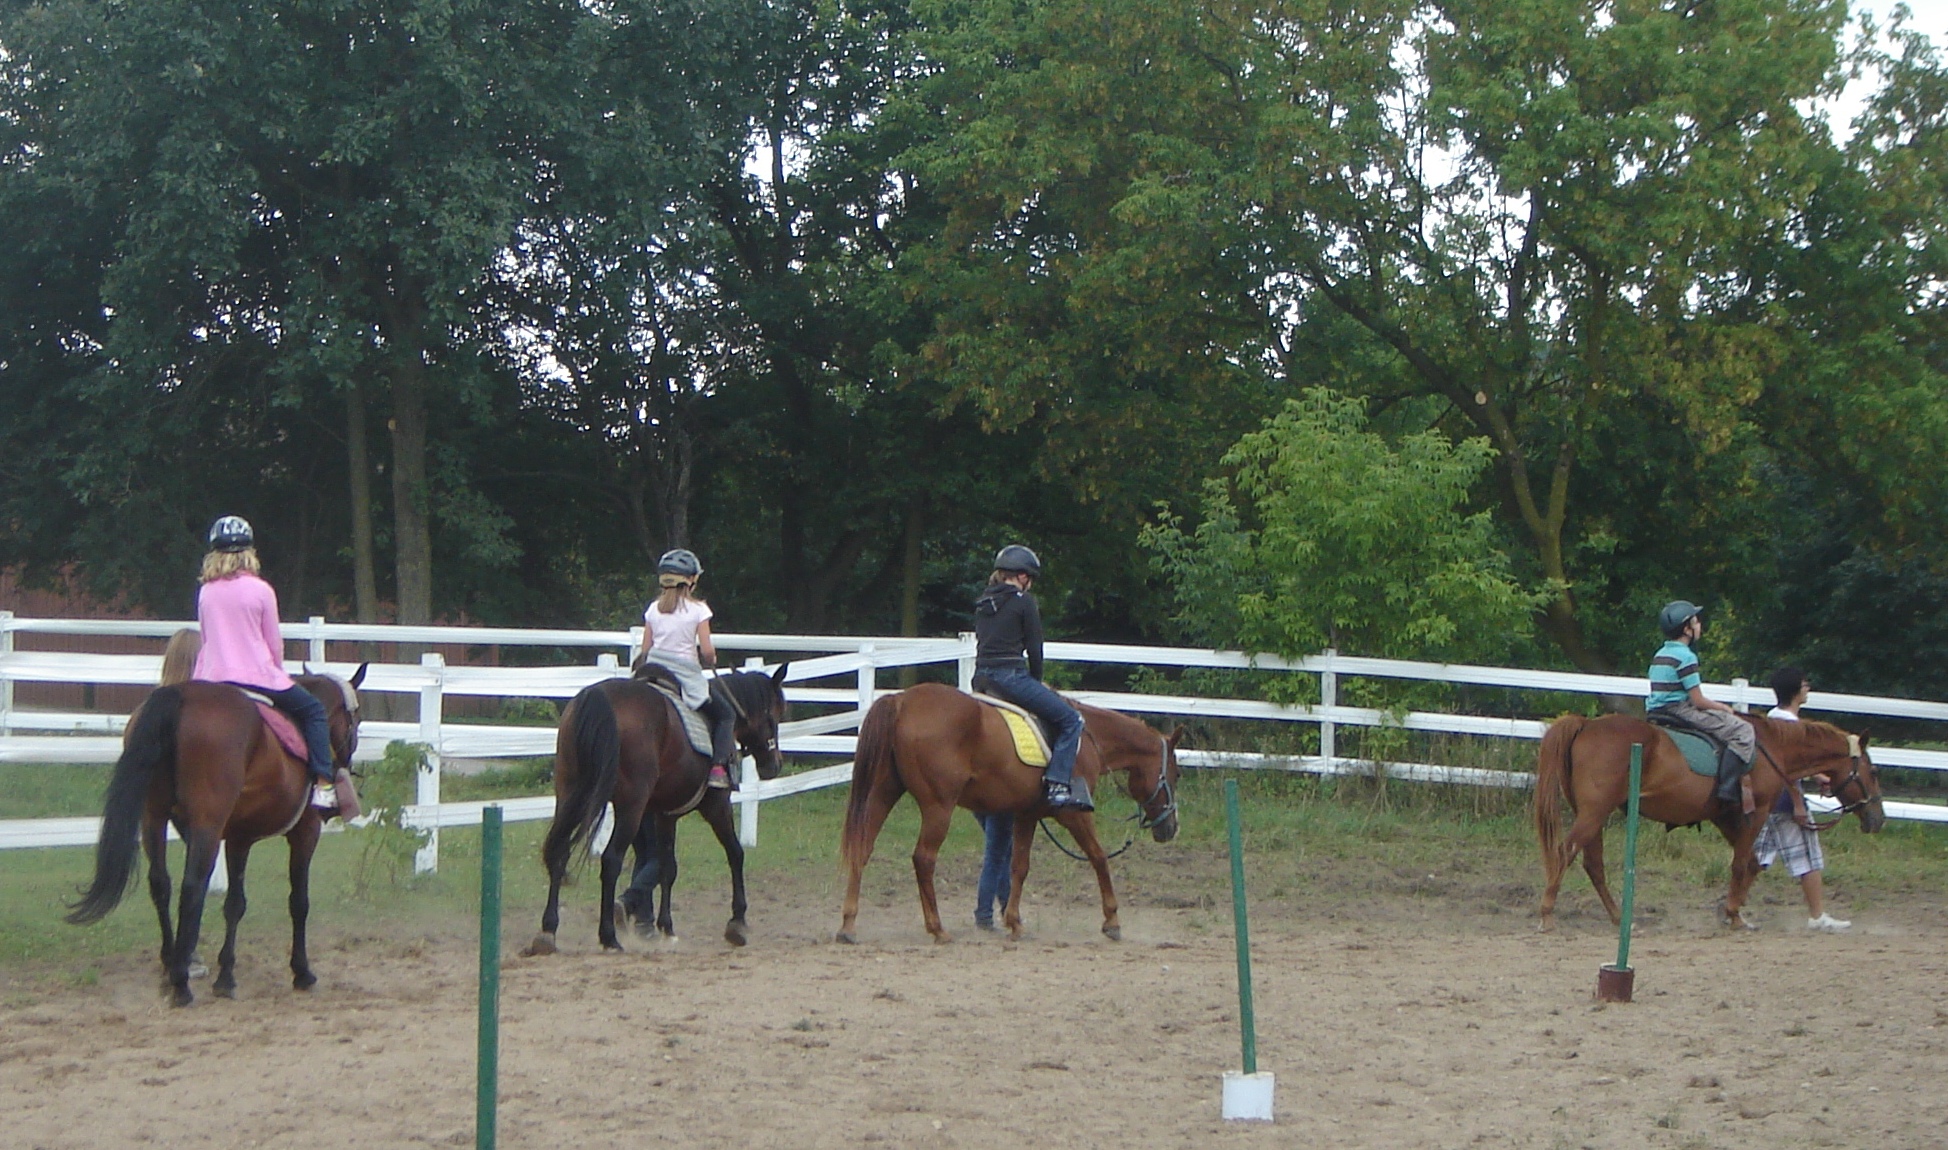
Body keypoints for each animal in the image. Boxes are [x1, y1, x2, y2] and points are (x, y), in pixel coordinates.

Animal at [67, 631, 366, 1013]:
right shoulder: (305, 832)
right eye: (357, 718)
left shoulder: (239, 837)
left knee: (160, 884)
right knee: (191, 887)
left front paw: (226, 976)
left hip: (153, 819)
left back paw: (170, 967)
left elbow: (234, 904)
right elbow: (298, 901)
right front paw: (302, 972)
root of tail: (180, 696)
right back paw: (180, 983)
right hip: (206, 828)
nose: (346, 761)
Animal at [529, 662, 786, 958]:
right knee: (611, 860)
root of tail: (599, 697)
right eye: (775, 714)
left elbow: (667, 867)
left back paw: (549, 930)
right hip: (630, 806)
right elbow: (735, 854)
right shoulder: (716, 806)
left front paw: (667, 927)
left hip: (571, 792)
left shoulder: (665, 815)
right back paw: (609, 936)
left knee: (560, 851)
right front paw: (738, 921)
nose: (774, 764)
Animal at [841, 686, 1184, 947]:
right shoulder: (1073, 814)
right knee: (923, 859)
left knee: (862, 849)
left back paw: (848, 925)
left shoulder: (1026, 814)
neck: (1089, 740)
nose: (1170, 828)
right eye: (1176, 774)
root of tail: (902, 700)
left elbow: (1019, 867)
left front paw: (1015, 922)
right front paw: (1112, 921)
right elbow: (1099, 857)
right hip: (938, 806)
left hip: (884, 792)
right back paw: (937, 928)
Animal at [1535, 717, 1885, 931]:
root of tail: (1585, 724)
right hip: (1594, 813)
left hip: (1593, 815)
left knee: (1593, 865)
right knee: (1564, 853)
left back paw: (1619, 917)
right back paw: (1548, 915)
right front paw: (1733, 914)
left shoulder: (1724, 816)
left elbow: (1752, 863)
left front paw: (1734, 912)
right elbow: (1741, 864)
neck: (1771, 749)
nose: (1878, 819)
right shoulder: (1757, 812)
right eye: (1873, 771)